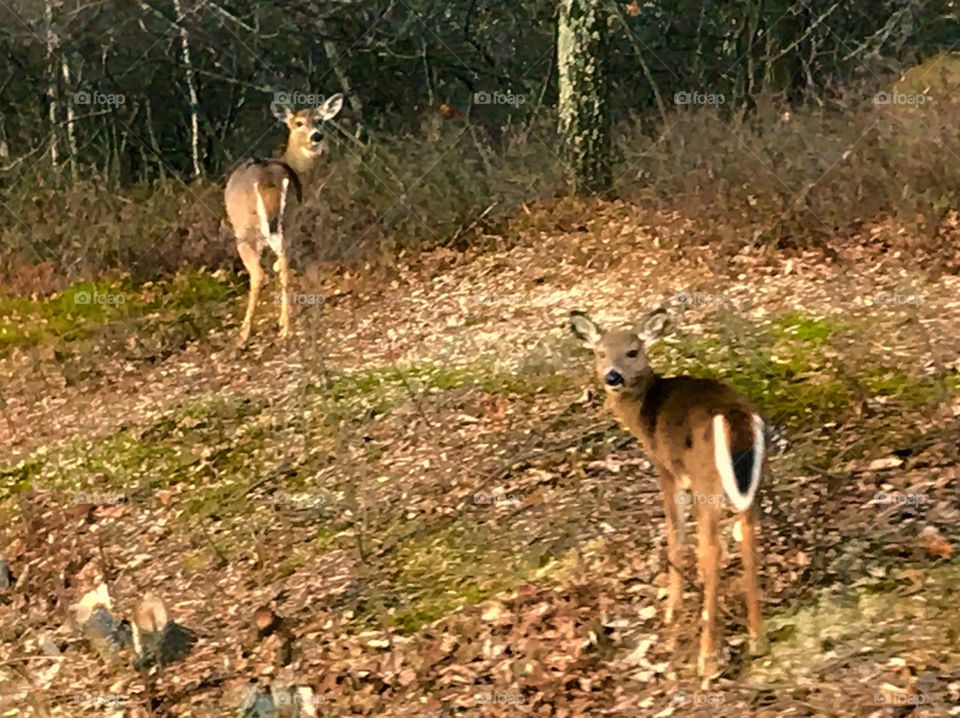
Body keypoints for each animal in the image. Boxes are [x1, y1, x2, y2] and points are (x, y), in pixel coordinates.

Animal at [224, 93, 344, 347]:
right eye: (298, 123)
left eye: (319, 120)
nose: (316, 136)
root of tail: (267, 180)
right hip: (280, 223)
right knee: (282, 270)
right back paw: (284, 328)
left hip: (247, 229)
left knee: (262, 273)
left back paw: (247, 335)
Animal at [569, 308, 766, 685]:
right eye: (600, 352)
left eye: (633, 351)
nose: (612, 376)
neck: (645, 413)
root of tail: (735, 417)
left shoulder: (666, 469)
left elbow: (675, 535)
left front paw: (671, 608)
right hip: (752, 481)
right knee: (747, 534)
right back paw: (755, 638)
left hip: (707, 481)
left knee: (712, 549)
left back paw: (707, 658)